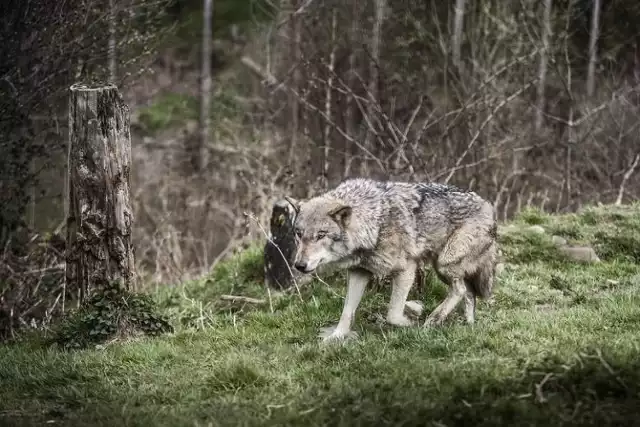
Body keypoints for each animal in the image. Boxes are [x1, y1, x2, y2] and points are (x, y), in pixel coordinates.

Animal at [286, 178, 500, 344]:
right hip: (444, 267)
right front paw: (336, 337)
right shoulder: (359, 272)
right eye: (299, 234)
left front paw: (411, 321)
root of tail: (488, 206)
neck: (375, 223)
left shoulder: (407, 269)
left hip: (444, 264)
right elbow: (347, 312)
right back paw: (468, 325)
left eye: (321, 235)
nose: (299, 265)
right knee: (469, 292)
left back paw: (433, 320)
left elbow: (393, 314)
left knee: (461, 290)